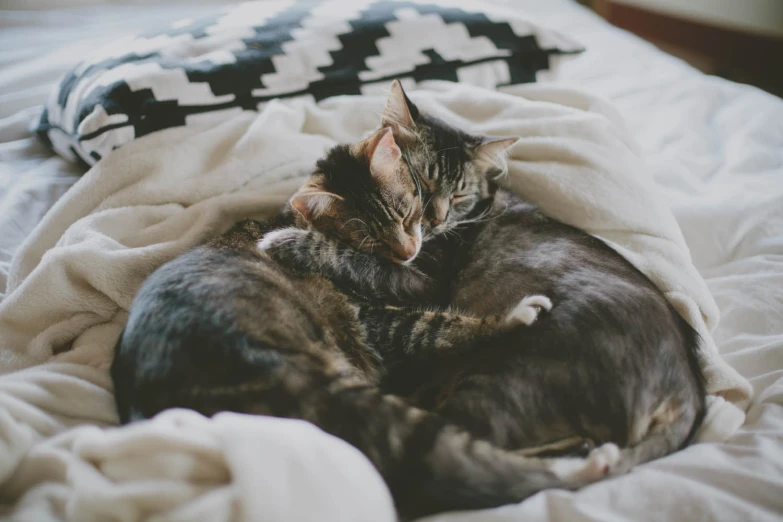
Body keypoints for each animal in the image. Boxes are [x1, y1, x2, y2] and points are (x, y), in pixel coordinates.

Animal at [112, 123, 620, 516]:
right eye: (370, 240)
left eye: (409, 212)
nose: (408, 249)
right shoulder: (374, 319)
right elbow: (435, 326)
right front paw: (513, 316)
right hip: (338, 393)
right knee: (466, 468)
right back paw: (588, 461)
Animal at [260, 80, 708, 468]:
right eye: (422, 182)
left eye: (458, 194)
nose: (435, 219)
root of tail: (687, 393)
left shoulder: (422, 281)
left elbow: (353, 258)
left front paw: (285, 239)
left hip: (498, 385)